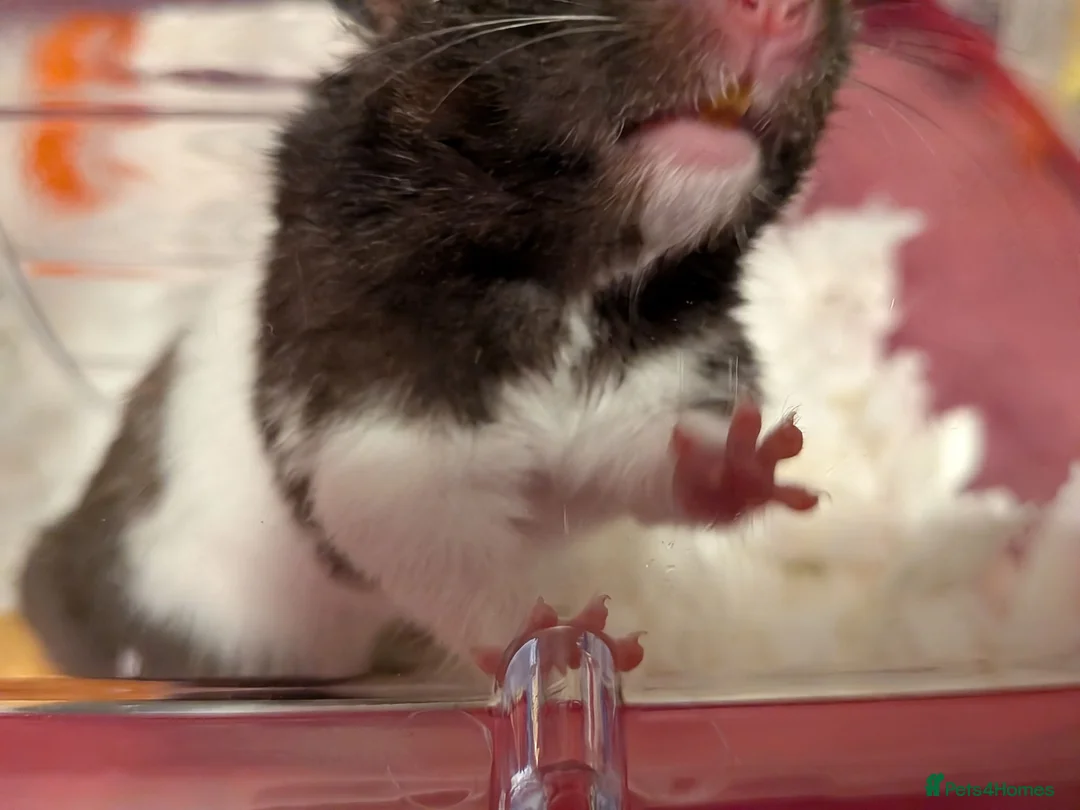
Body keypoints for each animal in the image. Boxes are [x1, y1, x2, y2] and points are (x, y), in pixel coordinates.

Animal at [19, 0, 854, 682]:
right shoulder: (375, 434)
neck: (574, 280)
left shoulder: (639, 400)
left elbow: (648, 459)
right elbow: (443, 551)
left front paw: (750, 458)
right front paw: (564, 638)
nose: (778, 7)